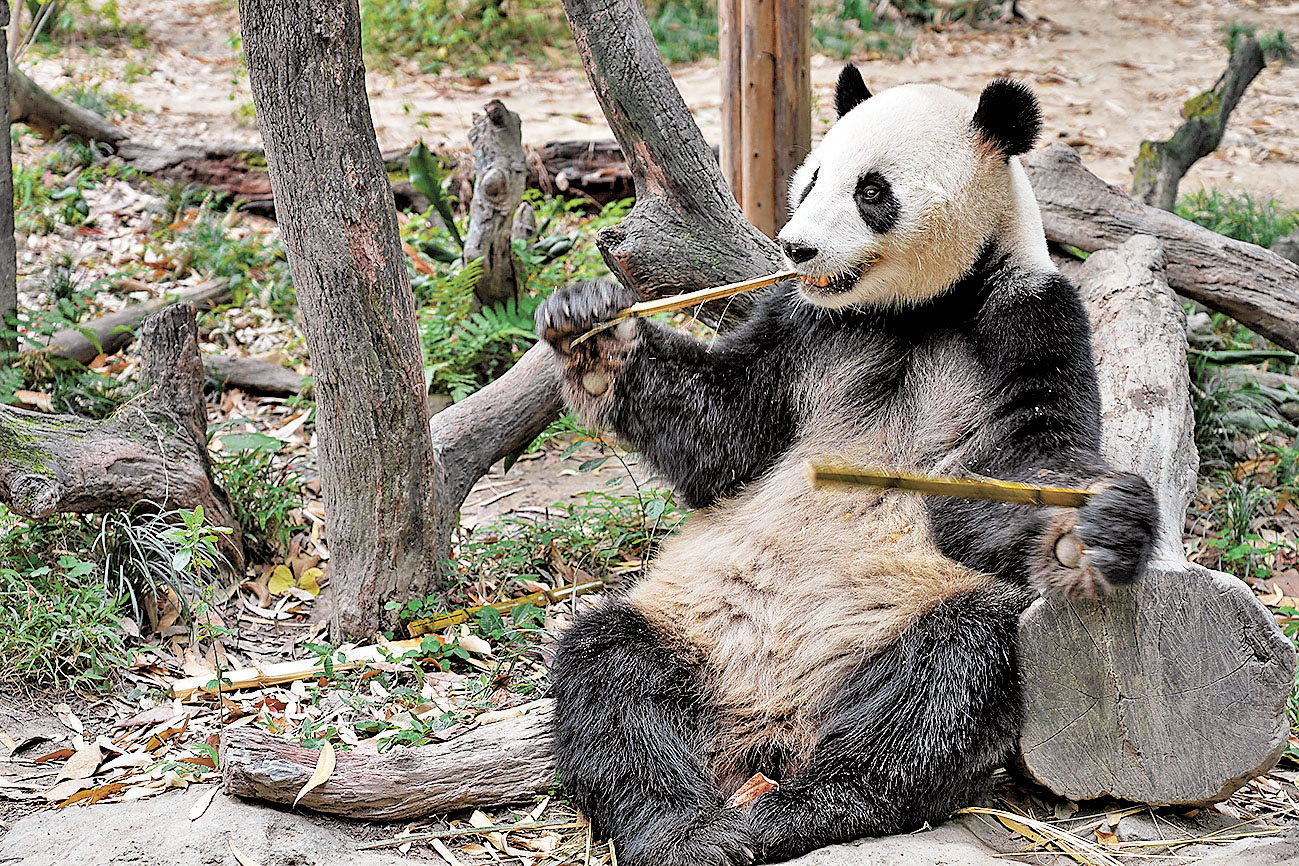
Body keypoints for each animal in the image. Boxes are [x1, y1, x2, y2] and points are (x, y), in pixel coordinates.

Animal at [532, 69, 1163, 866]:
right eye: (810, 178)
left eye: (871, 190)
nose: (796, 249)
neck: (913, 311)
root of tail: (764, 722)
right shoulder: (802, 327)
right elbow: (727, 436)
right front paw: (594, 338)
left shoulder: (1027, 316)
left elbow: (1023, 461)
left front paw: (1094, 527)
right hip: (690, 622)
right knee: (611, 676)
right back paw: (682, 831)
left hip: (905, 616)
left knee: (941, 683)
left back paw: (799, 811)